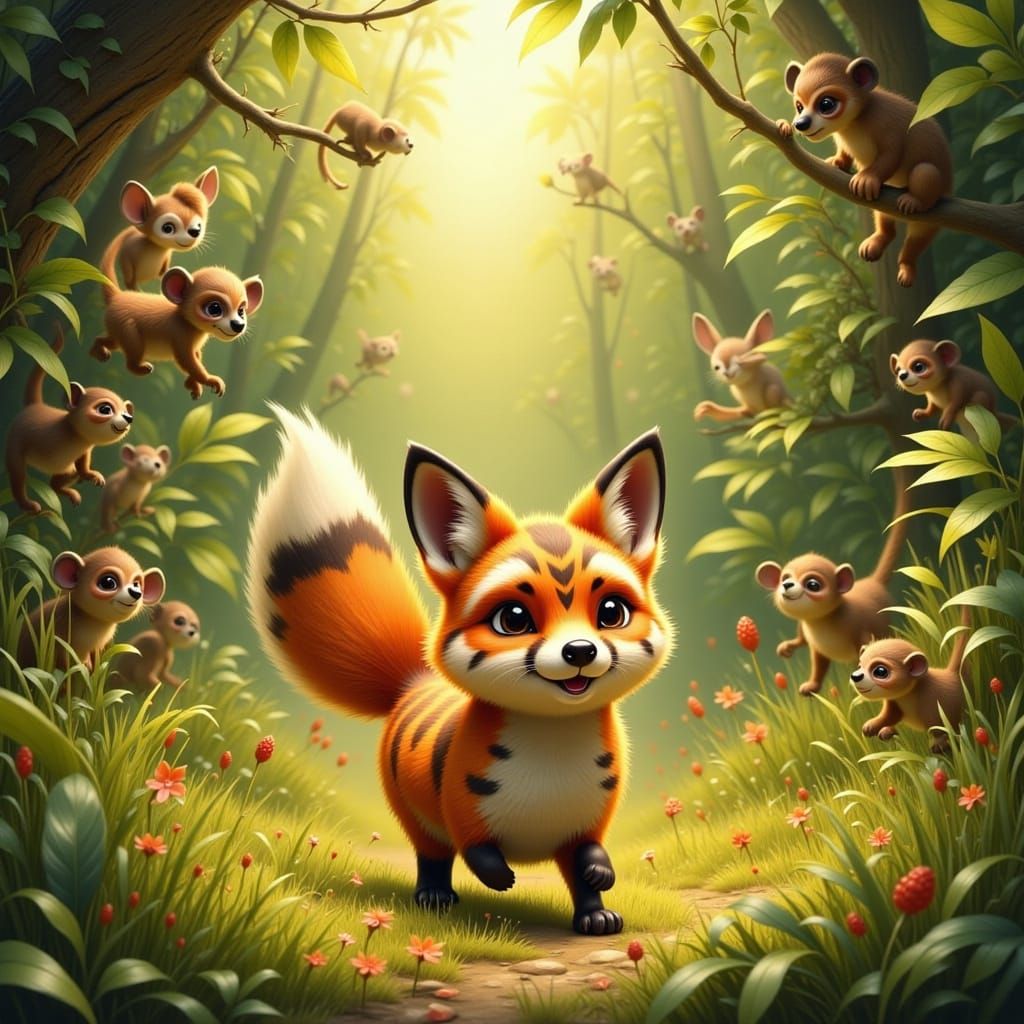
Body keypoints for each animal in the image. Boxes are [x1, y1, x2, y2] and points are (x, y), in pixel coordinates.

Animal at [246, 407, 673, 934]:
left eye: (611, 612)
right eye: (514, 619)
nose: (579, 651)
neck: (551, 757)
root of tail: (414, 680)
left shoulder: (586, 824)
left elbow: (587, 865)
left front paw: (596, 901)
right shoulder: (460, 807)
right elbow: (477, 852)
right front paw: (499, 880)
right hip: (413, 815)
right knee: (432, 855)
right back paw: (434, 895)